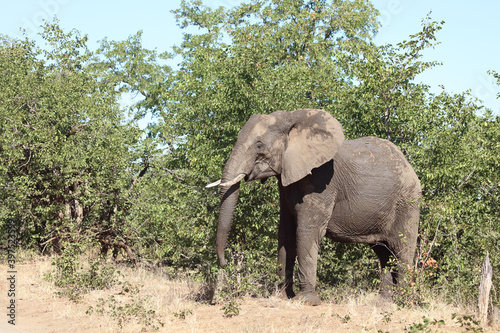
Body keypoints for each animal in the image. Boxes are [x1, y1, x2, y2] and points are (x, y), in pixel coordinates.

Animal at [207, 108, 422, 304]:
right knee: (384, 253)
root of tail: (409, 165)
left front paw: (306, 301)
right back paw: (383, 303)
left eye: (259, 144)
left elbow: (306, 231)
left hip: (408, 202)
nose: (224, 264)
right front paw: (282, 297)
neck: (291, 120)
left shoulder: (321, 180)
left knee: (401, 250)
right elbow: (285, 232)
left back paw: (402, 301)